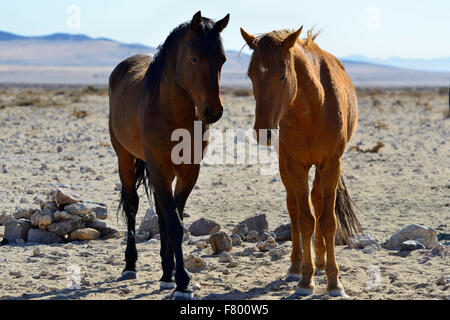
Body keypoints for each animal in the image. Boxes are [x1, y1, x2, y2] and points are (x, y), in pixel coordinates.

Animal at [108, 10, 229, 300]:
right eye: (194, 58)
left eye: (222, 59)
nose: (213, 112)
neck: (172, 111)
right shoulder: (159, 166)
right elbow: (174, 223)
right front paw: (183, 281)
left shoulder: (188, 170)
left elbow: (175, 217)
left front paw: (173, 274)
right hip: (125, 158)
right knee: (132, 205)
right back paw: (130, 266)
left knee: (162, 209)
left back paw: (165, 272)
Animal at [241, 26, 364, 296]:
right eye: (251, 76)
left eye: (282, 76)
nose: (263, 132)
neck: (313, 109)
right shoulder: (295, 164)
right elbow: (305, 220)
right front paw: (306, 279)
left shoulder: (331, 163)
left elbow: (327, 220)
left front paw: (333, 280)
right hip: (286, 166)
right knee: (294, 209)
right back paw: (296, 266)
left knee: (317, 200)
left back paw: (321, 260)